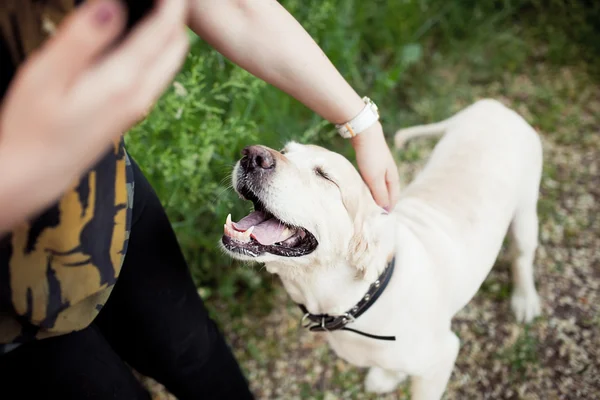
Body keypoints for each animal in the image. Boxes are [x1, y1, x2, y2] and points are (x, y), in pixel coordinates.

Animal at [221, 98, 544, 398]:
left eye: (324, 176)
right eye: (285, 152)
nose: (252, 155)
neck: (355, 301)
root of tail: (493, 105)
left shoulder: (441, 358)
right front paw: (388, 377)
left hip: (526, 214)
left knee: (522, 256)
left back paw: (525, 299)